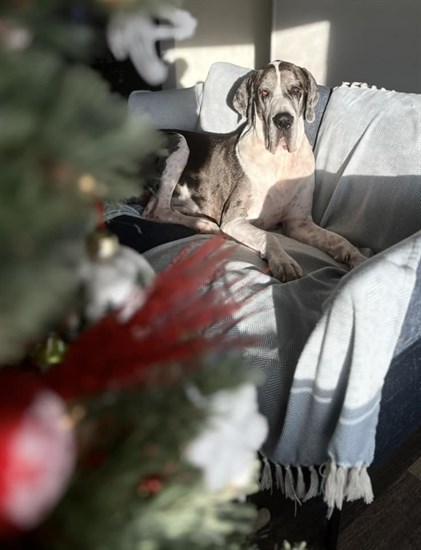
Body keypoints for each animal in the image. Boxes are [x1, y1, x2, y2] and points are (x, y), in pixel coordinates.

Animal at [142, 62, 364, 282]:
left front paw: (359, 260)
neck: (280, 158)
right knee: (157, 211)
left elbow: (338, 238)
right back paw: (204, 225)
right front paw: (284, 262)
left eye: (296, 90)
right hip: (179, 142)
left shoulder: (298, 223)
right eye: (264, 93)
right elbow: (269, 236)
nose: (283, 121)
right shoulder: (234, 220)